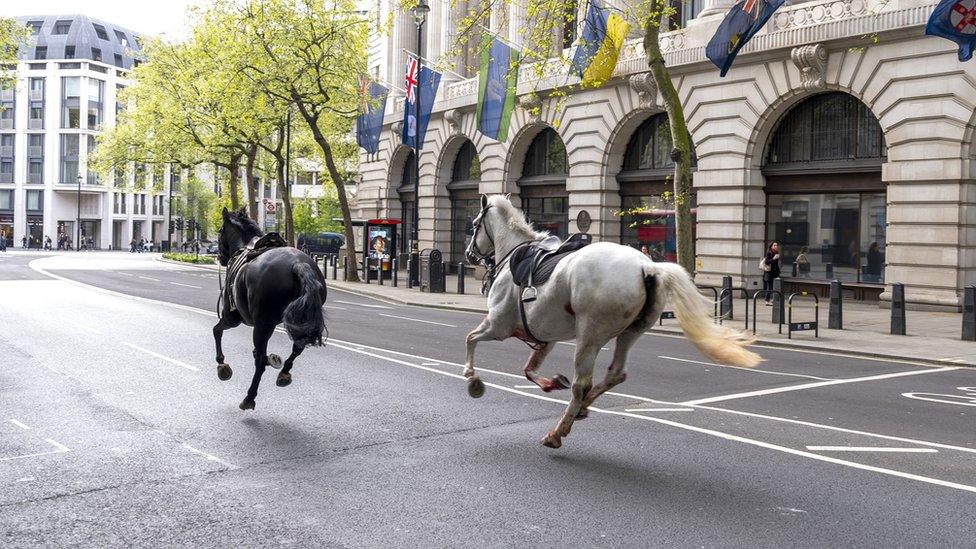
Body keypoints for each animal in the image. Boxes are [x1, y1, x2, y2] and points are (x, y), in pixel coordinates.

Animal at [214, 208, 328, 408]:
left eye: (221, 231)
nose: (220, 257)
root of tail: (298, 264)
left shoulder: (231, 318)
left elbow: (216, 331)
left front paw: (222, 365)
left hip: (260, 325)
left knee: (260, 362)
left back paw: (249, 397)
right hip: (298, 321)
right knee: (297, 347)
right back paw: (284, 373)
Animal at [464, 195, 764, 448]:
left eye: (475, 225)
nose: (468, 255)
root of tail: (647, 266)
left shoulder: (498, 325)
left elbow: (471, 338)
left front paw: (472, 379)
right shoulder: (544, 337)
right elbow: (528, 369)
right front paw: (550, 383)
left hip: (589, 335)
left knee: (582, 384)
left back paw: (558, 431)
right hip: (631, 331)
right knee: (615, 373)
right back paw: (582, 408)